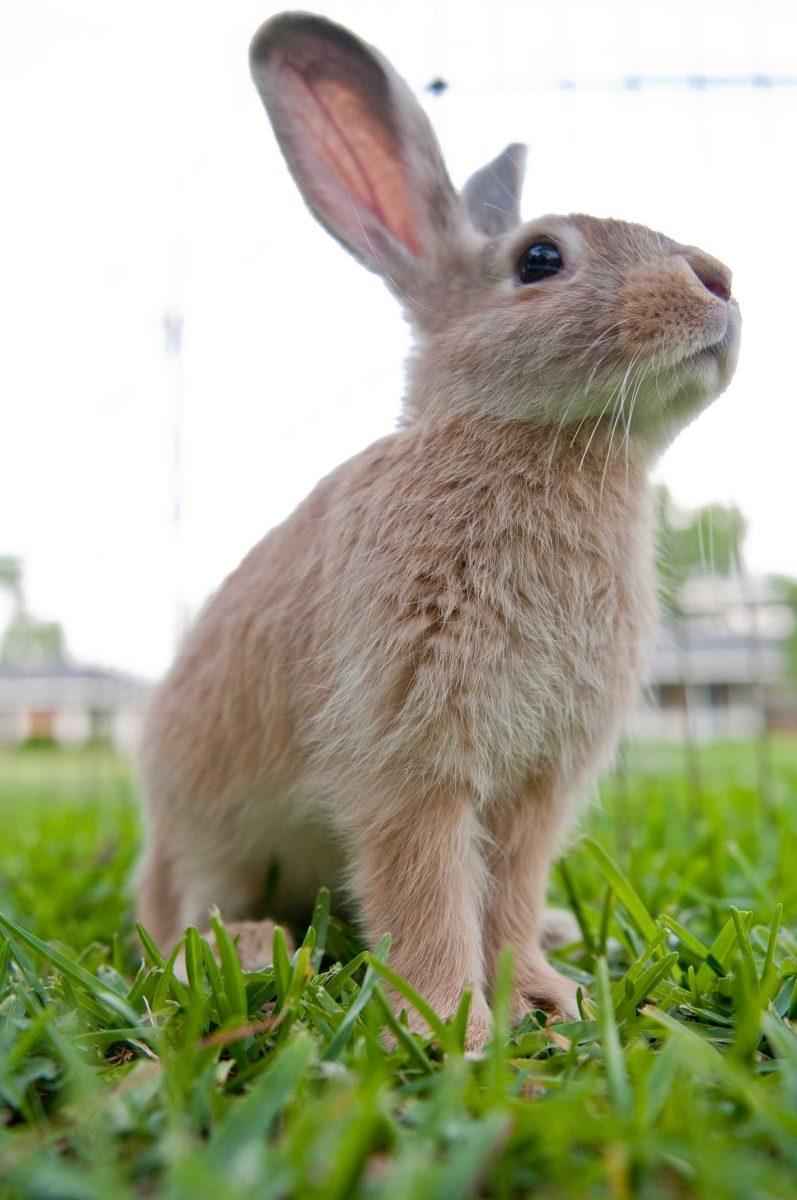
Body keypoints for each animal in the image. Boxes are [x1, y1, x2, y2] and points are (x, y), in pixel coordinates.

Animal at [136, 9, 739, 1046]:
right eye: (539, 261)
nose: (721, 280)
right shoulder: (410, 754)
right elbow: (422, 889)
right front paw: (447, 1025)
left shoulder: (539, 781)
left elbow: (509, 888)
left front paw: (542, 992)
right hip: (204, 825)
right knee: (185, 910)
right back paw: (247, 949)